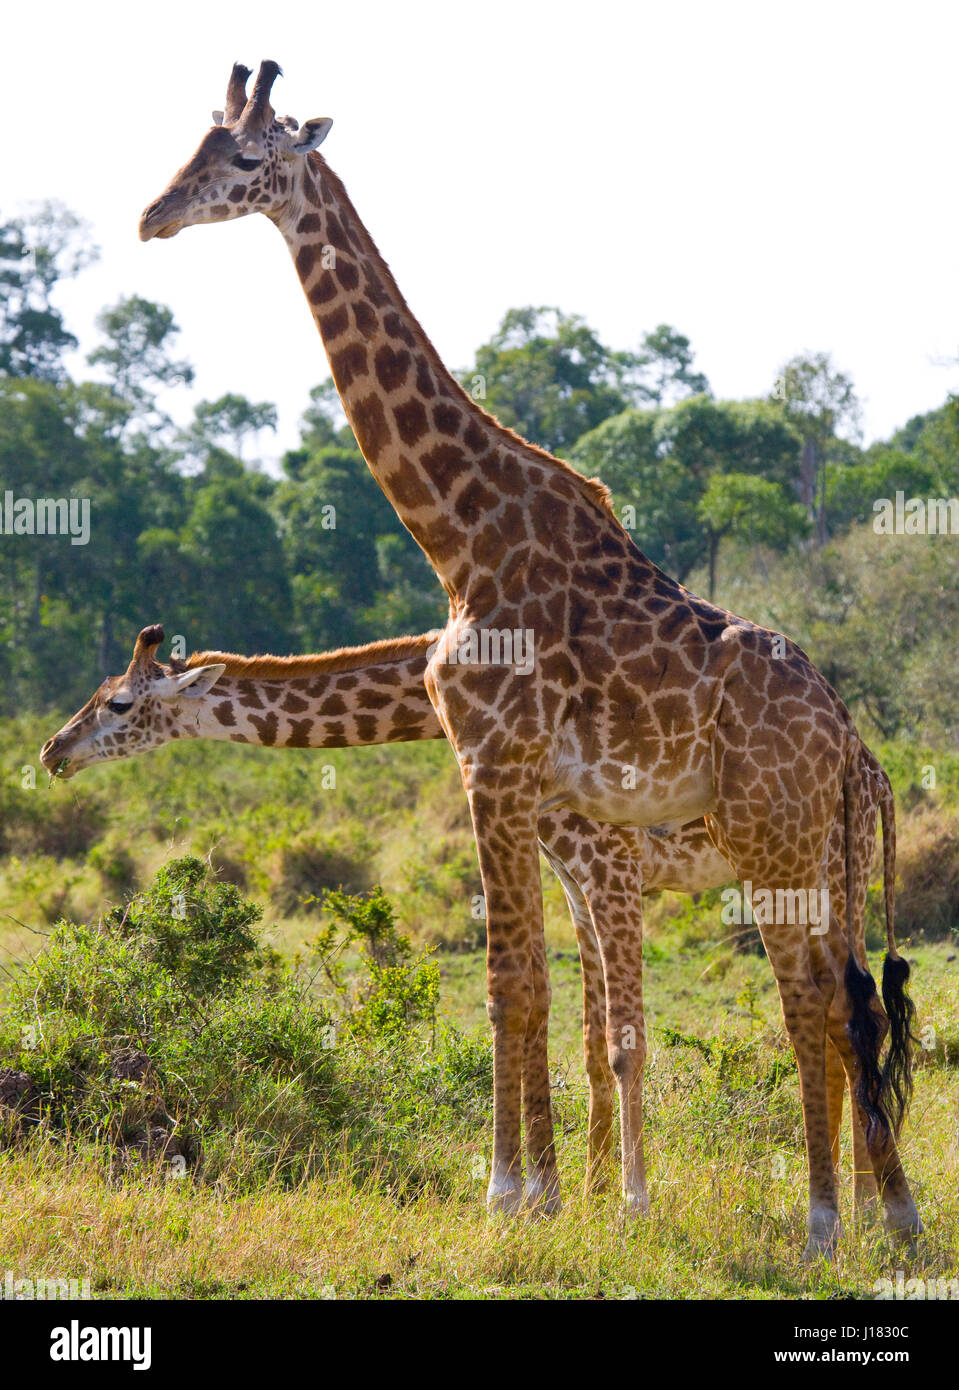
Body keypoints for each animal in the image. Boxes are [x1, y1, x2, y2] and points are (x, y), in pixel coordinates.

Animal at [42, 626, 907, 1214]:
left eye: (119, 701)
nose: (53, 751)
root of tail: (874, 769)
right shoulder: (572, 873)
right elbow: (575, 1032)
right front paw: (580, 1193)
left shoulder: (610, 864)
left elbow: (619, 1038)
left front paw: (622, 1201)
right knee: (842, 1010)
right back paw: (863, 1200)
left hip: (823, 872)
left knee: (844, 1009)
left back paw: (865, 1206)